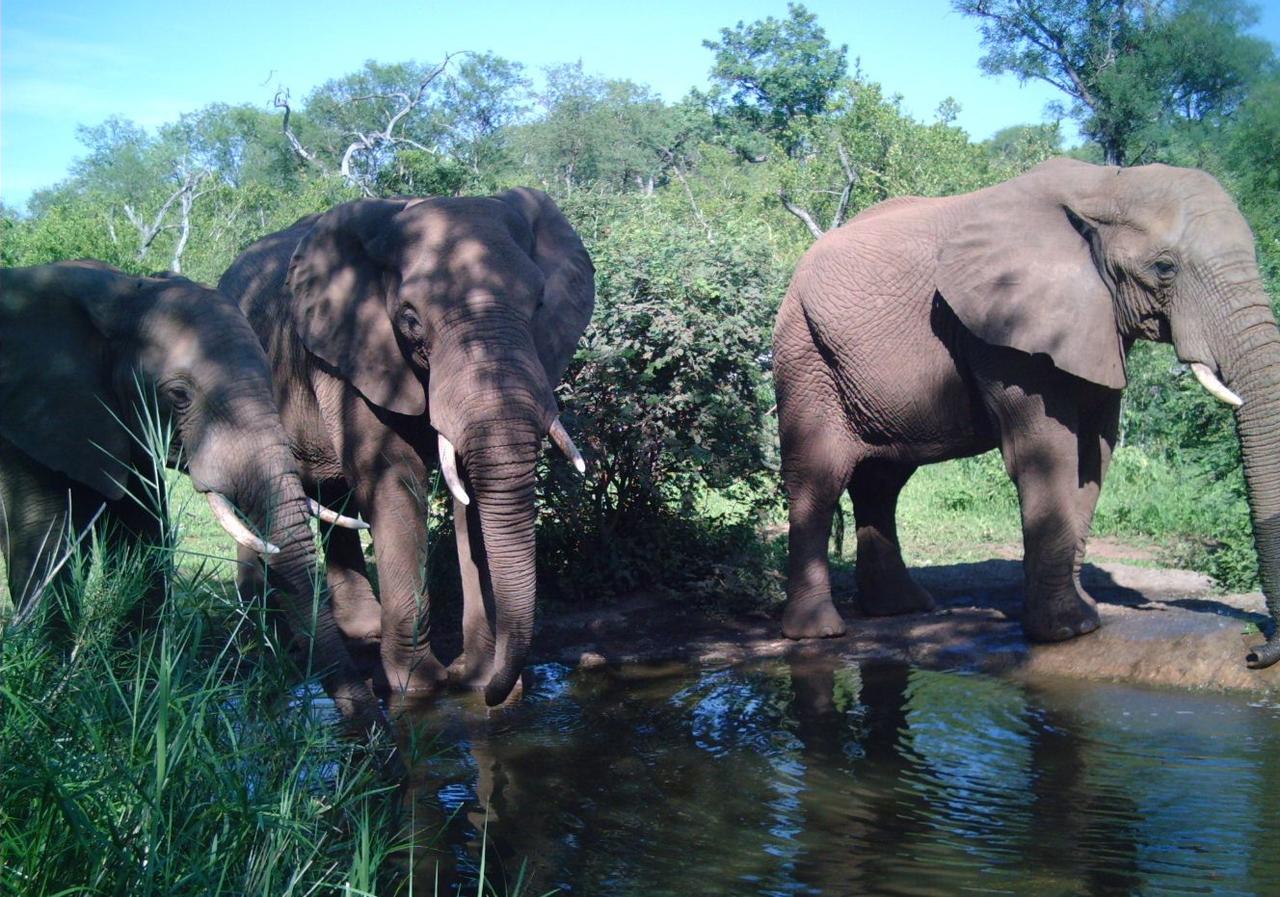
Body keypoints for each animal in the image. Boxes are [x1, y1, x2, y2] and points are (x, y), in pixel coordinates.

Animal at [2, 258, 386, 726]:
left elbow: (143, 532)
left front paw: (136, 687)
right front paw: (51, 704)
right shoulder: (26, 417)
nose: (379, 735)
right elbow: (43, 538)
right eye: (179, 395)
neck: (121, 294)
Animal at [220, 186, 593, 706]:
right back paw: (263, 629)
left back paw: (360, 632)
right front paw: (417, 688)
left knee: (334, 495)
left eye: (540, 302)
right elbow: (395, 477)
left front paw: (478, 679)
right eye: (411, 319)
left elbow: (471, 495)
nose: (495, 695)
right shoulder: (349, 350)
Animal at [768, 157, 1280, 670]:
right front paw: (1065, 632)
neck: (1106, 185)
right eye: (1164, 268)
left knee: (882, 481)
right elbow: (1049, 451)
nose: (1256, 654)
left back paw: (902, 608)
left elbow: (1094, 454)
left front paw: (1085, 619)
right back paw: (819, 632)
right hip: (804, 349)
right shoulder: (1003, 331)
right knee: (819, 476)